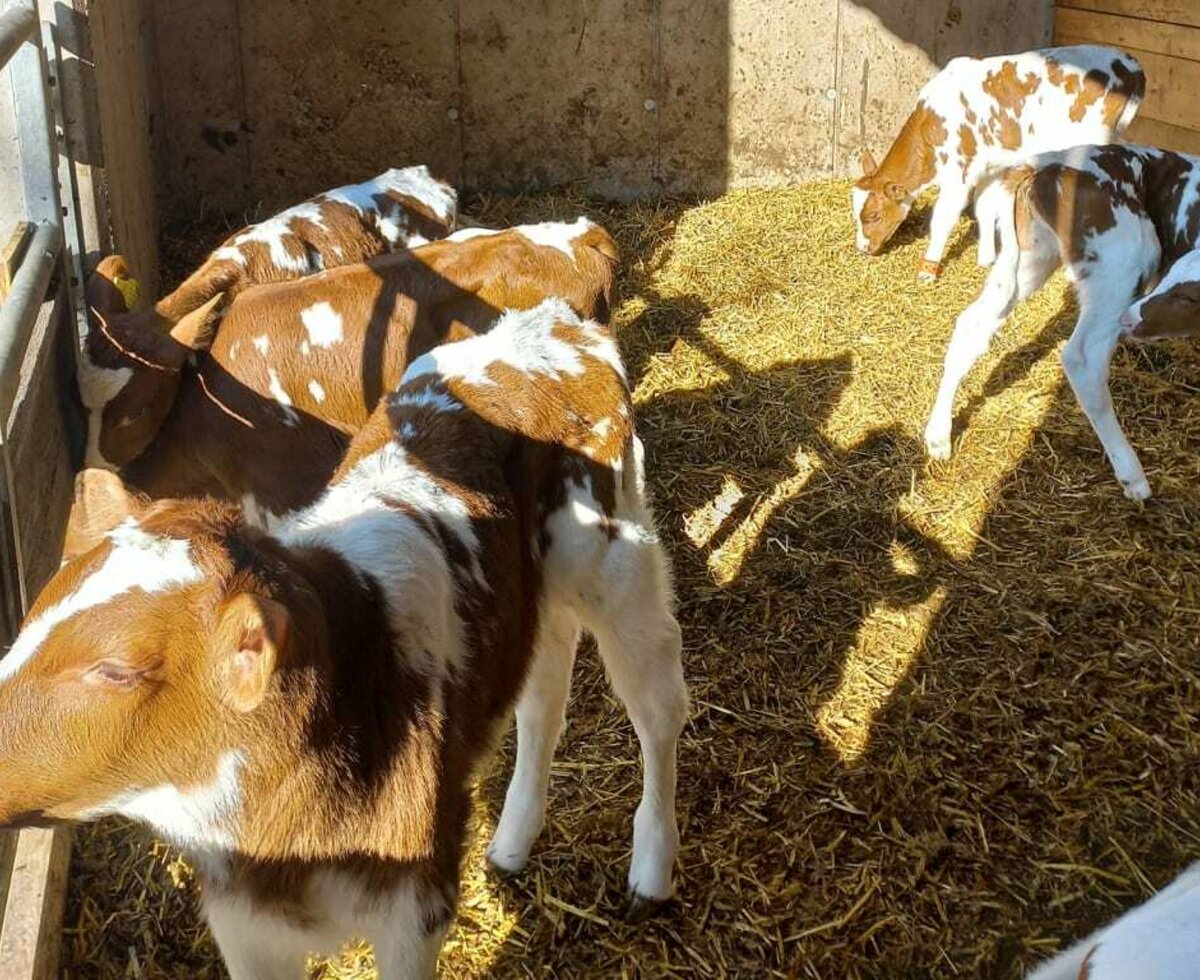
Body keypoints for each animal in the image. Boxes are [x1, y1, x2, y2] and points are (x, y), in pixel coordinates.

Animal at [0, 299, 691, 978]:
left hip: (615, 559)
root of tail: (553, 322)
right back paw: (514, 840)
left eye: (116, 669)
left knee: (657, 704)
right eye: (30, 620)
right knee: (543, 691)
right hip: (533, 595)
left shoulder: (416, 902)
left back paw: (651, 870)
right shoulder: (245, 923)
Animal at [854, 47, 1142, 280]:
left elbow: (943, 219)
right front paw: (986, 258)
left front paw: (928, 270)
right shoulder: (989, 166)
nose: (863, 248)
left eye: (873, 215)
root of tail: (1129, 62)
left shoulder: (959, 174)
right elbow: (984, 207)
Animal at [916, 143, 1200, 496]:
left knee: (971, 325)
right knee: (1083, 359)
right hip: (1123, 262)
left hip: (1030, 259)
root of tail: (1041, 165)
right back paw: (1134, 477)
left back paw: (938, 435)